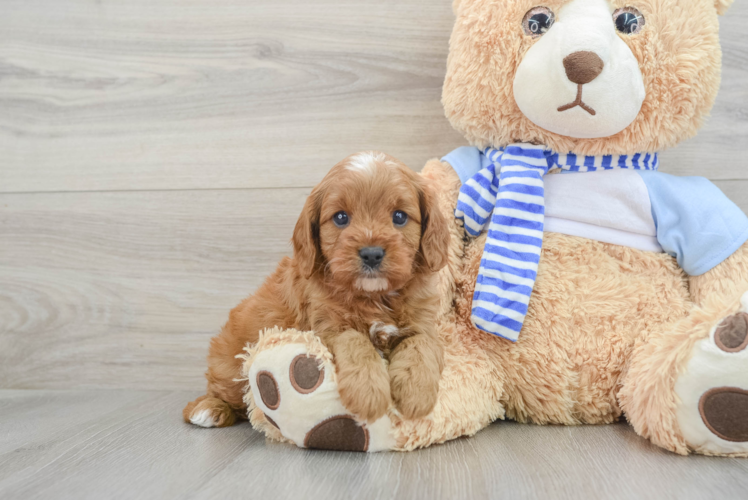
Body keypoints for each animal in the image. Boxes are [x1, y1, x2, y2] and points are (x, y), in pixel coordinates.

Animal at [184, 150, 450, 428]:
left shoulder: (423, 325)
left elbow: (420, 346)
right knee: (223, 394)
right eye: (341, 217)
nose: (371, 254)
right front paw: (368, 393)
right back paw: (208, 409)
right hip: (229, 367)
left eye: (399, 216)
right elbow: (355, 341)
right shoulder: (326, 326)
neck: (374, 296)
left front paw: (416, 394)